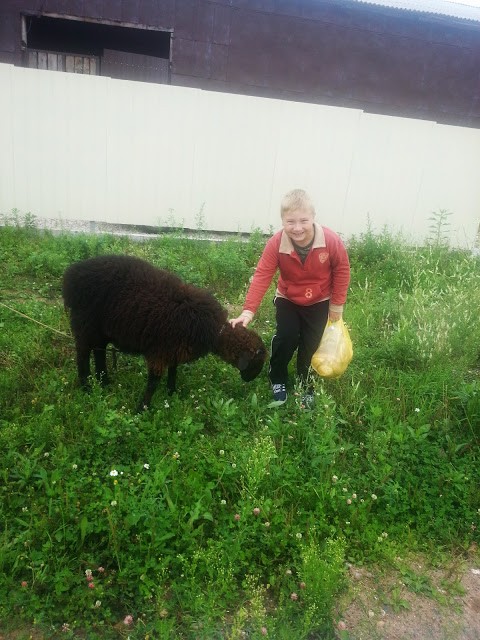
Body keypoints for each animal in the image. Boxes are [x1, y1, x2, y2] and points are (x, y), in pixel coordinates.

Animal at [61, 254, 266, 410]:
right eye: (257, 362)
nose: (249, 380)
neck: (215, 331)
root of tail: (71, 275)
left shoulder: (174, 349)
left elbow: (173, 371)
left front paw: (171, 393)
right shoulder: (159, 351)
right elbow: (153, 382)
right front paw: (141, 409)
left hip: (100, 330)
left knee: (99, 352)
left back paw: (104, 381)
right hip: (85, 324)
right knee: (83, 354)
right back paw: (87, 387)